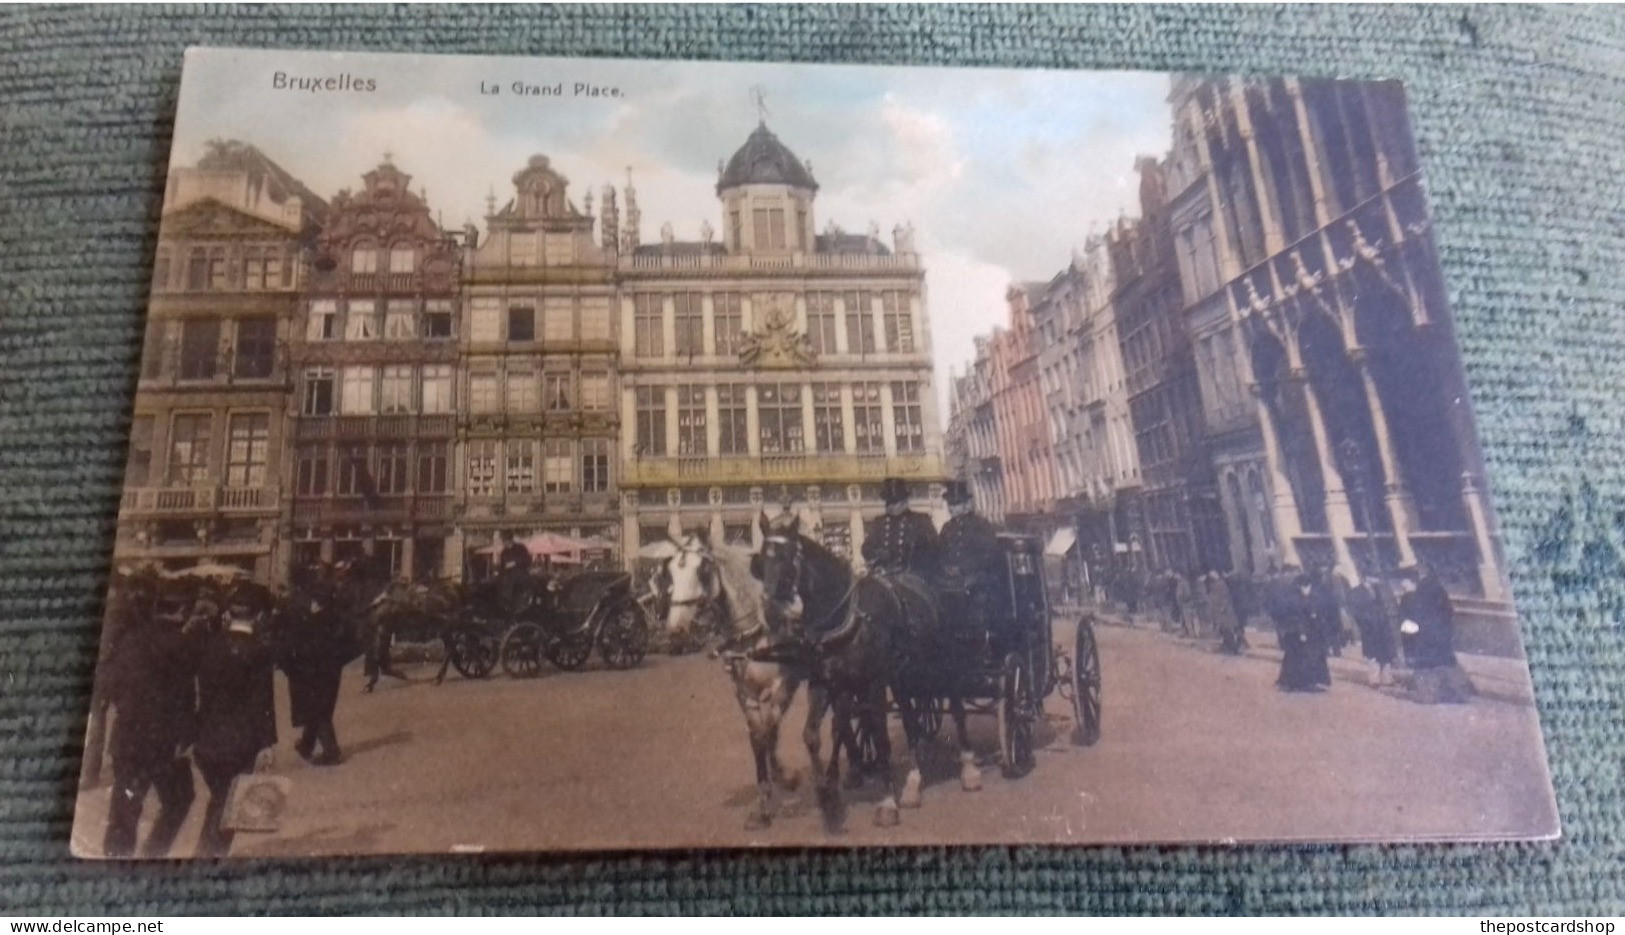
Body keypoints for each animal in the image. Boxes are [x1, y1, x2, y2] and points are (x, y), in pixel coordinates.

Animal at [640, 530, 806, 829]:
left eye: (703, 570)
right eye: (670, 573)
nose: (676, 631)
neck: (758, 629)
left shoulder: (781, 686)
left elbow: (770, 731)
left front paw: (785, 779)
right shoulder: (745, 694)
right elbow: (759, 738)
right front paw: (766, 801)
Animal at [754, 513, 981, 832]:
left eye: (788, 558)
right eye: (762, 560)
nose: (771, 613)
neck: (846, 617)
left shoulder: (872, 684)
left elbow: (881, 736)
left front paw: (886, 802)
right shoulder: (826, 684)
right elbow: (813, 735)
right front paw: (828, 801)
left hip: (944, 665)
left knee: (958, 709)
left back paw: (968, 767)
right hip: (903, 677)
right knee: (911, 720)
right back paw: (913, 781)